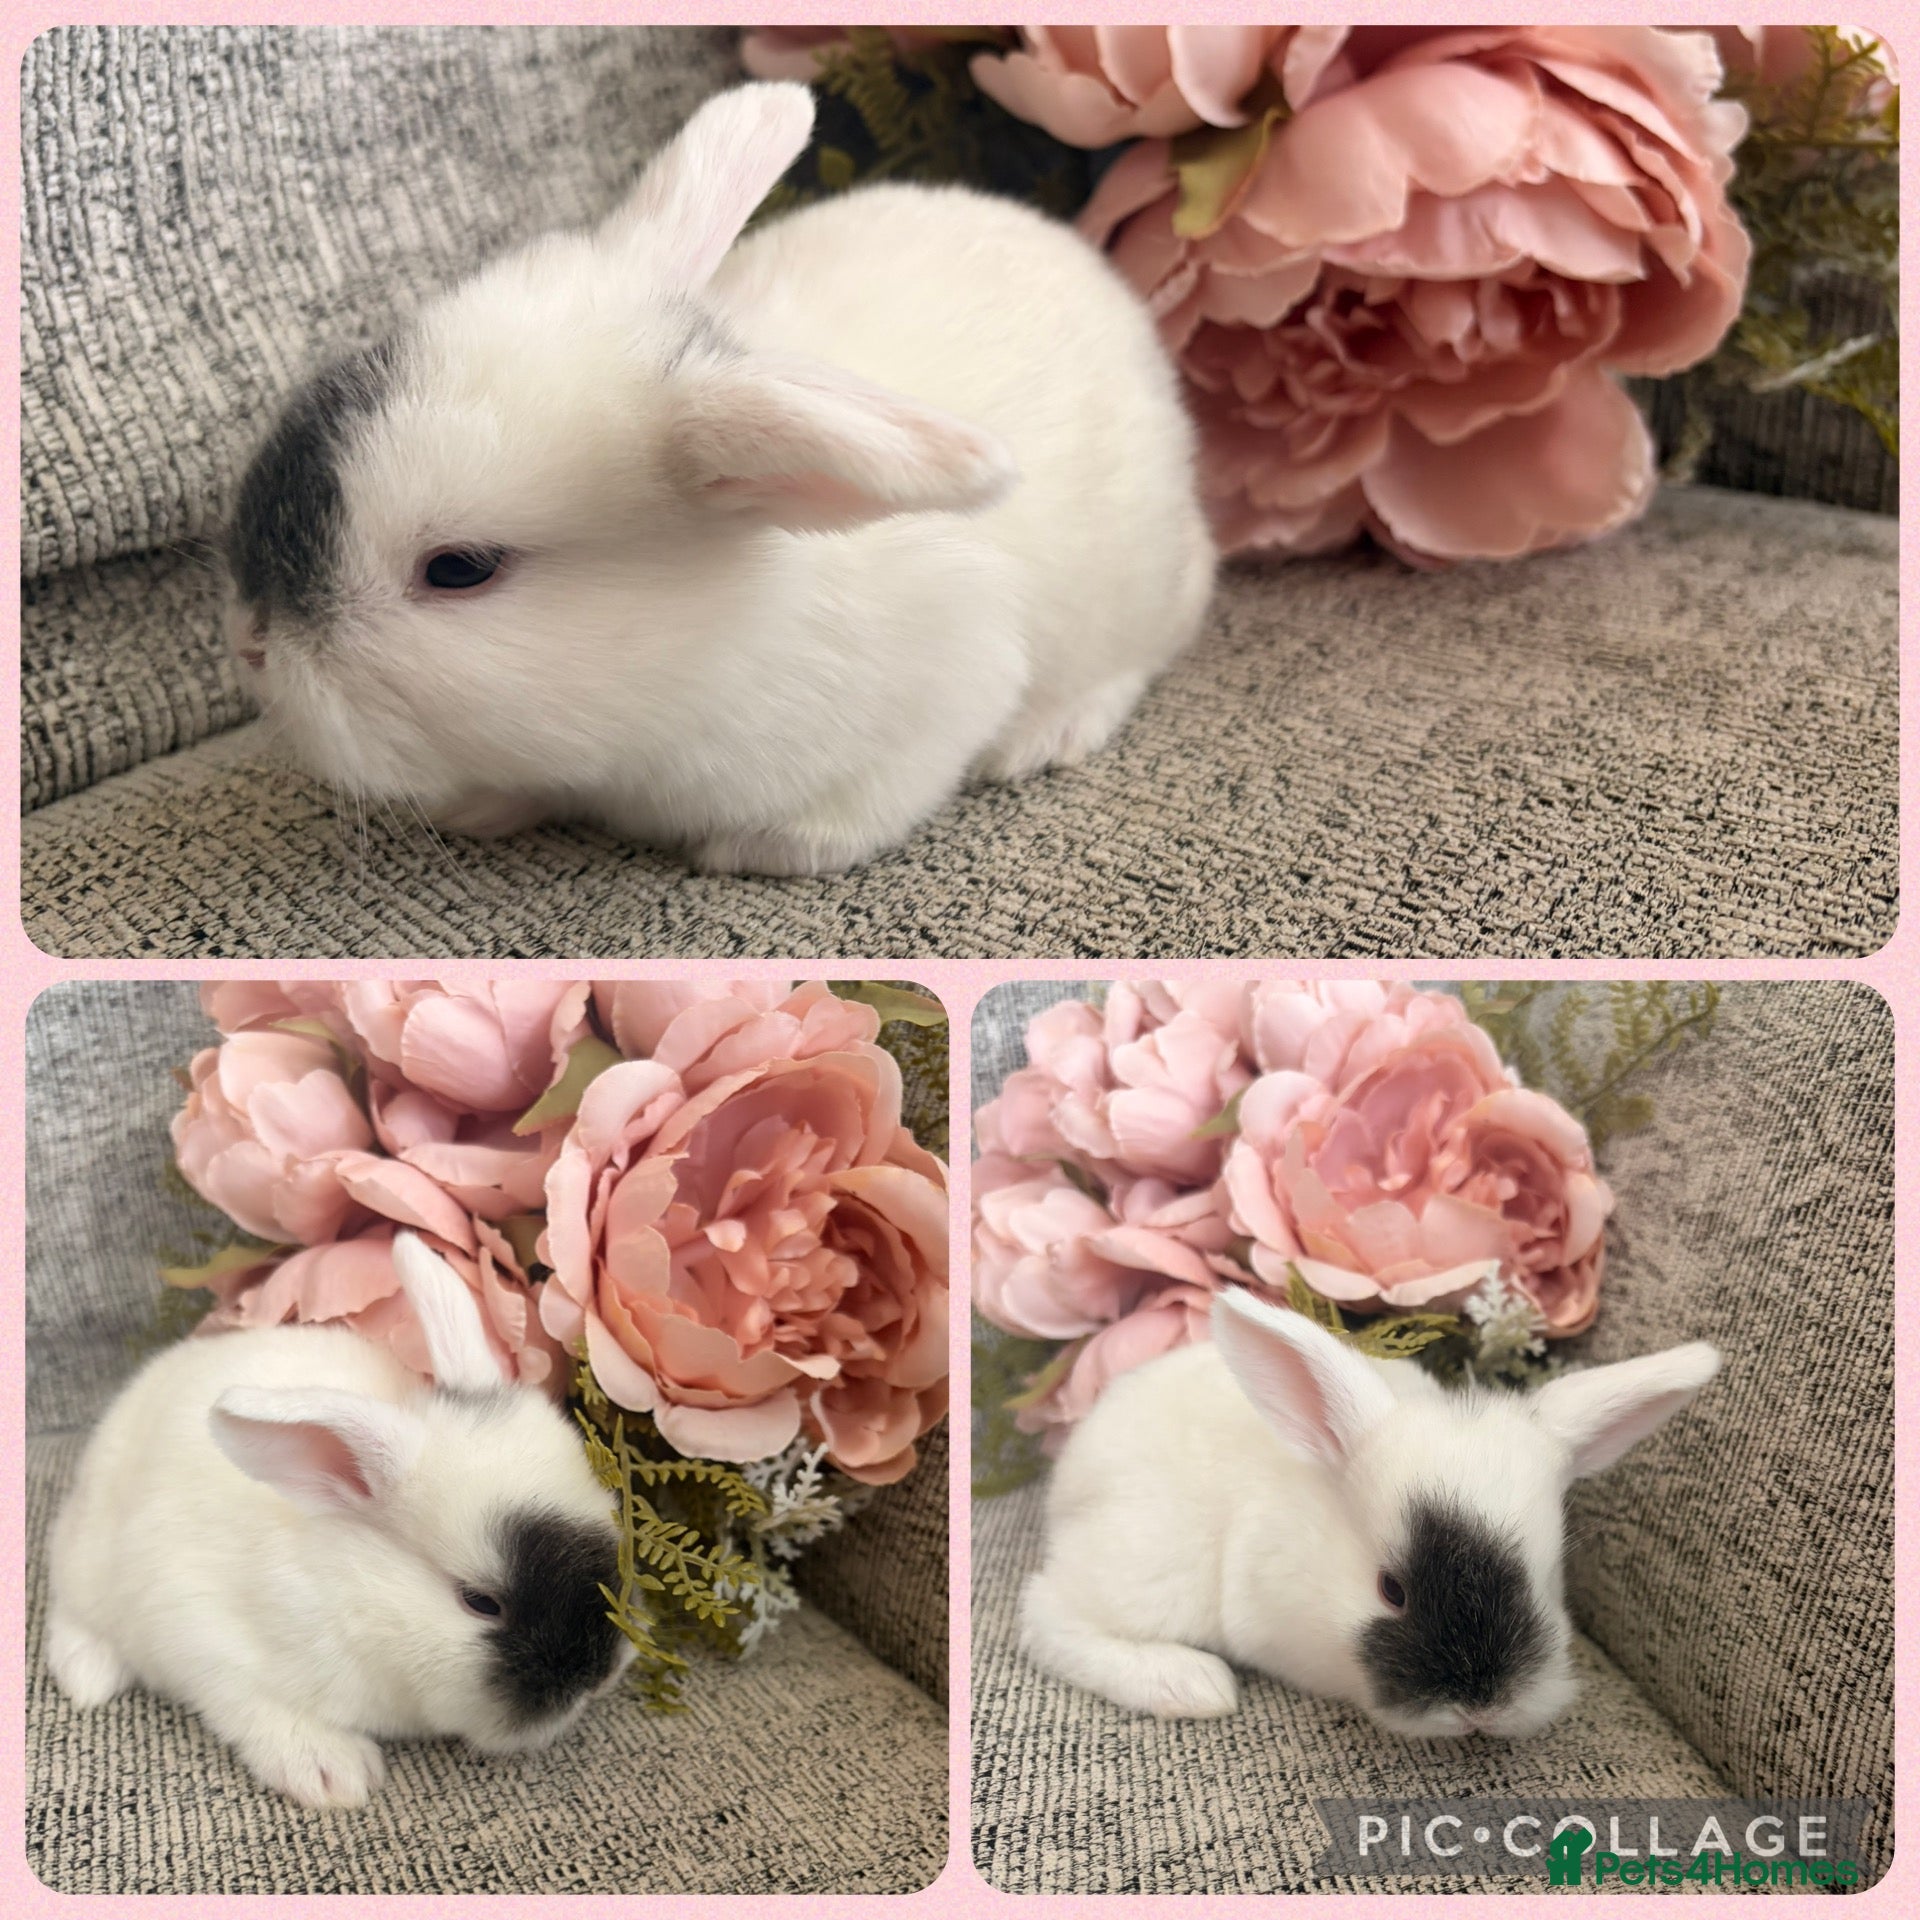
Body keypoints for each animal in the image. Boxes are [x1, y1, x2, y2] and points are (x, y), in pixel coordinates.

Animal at [43, 1232, 633, 1808]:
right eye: (481, 1602)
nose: (599, 1679)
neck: (360, 1596)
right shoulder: (196, 1629)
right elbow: (250, 1704)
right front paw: (333, 1772)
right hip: (89, 1557)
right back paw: (88, 1675)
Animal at [218, 81, 1216, 876]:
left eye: (461, 569)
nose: (251, 648)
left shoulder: (946, 690)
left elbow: (857, 812)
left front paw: (751, 851)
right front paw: (481, 807)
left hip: (1132, 588)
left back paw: (1050, 733)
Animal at [1020, 1286, 1720, 1738]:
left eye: (1548, 1581)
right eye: (1391, 1590)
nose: (1483, 1710)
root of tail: (1071, 1474)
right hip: (1153, 1564)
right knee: (1048, 1613)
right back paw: (1193, 1685)